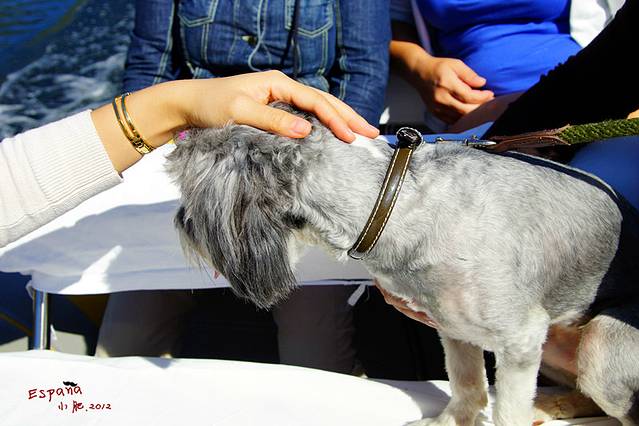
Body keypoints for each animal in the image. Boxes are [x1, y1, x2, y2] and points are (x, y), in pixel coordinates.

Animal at [166, 103, 639, 425]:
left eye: (190, 198)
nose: (180, 225)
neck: (394, 198)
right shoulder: (453, 327)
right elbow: (467, 385)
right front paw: (451, 422)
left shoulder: (520, 340)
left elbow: (507, 410)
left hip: (600, 343)